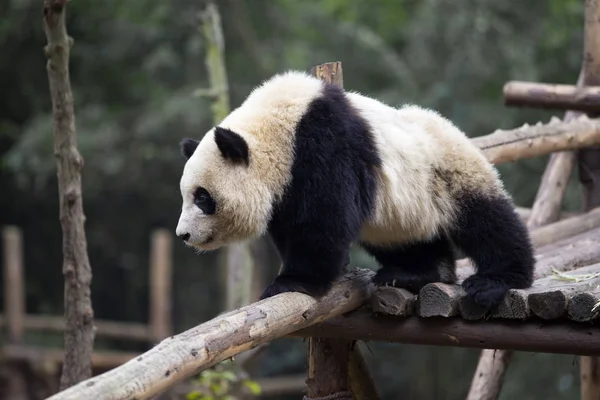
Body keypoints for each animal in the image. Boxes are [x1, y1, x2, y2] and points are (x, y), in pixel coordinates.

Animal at [176, 71, 536, 310]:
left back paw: (495, 280)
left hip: (448, 170)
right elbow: (292, 223)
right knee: (408, 239)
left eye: (203, 197)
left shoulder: (323, 143)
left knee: (489, 221)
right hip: (407, 212)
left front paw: (293, 281)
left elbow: (325, 216)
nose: (184, 235)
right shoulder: (285, 186)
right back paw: (416, 272)